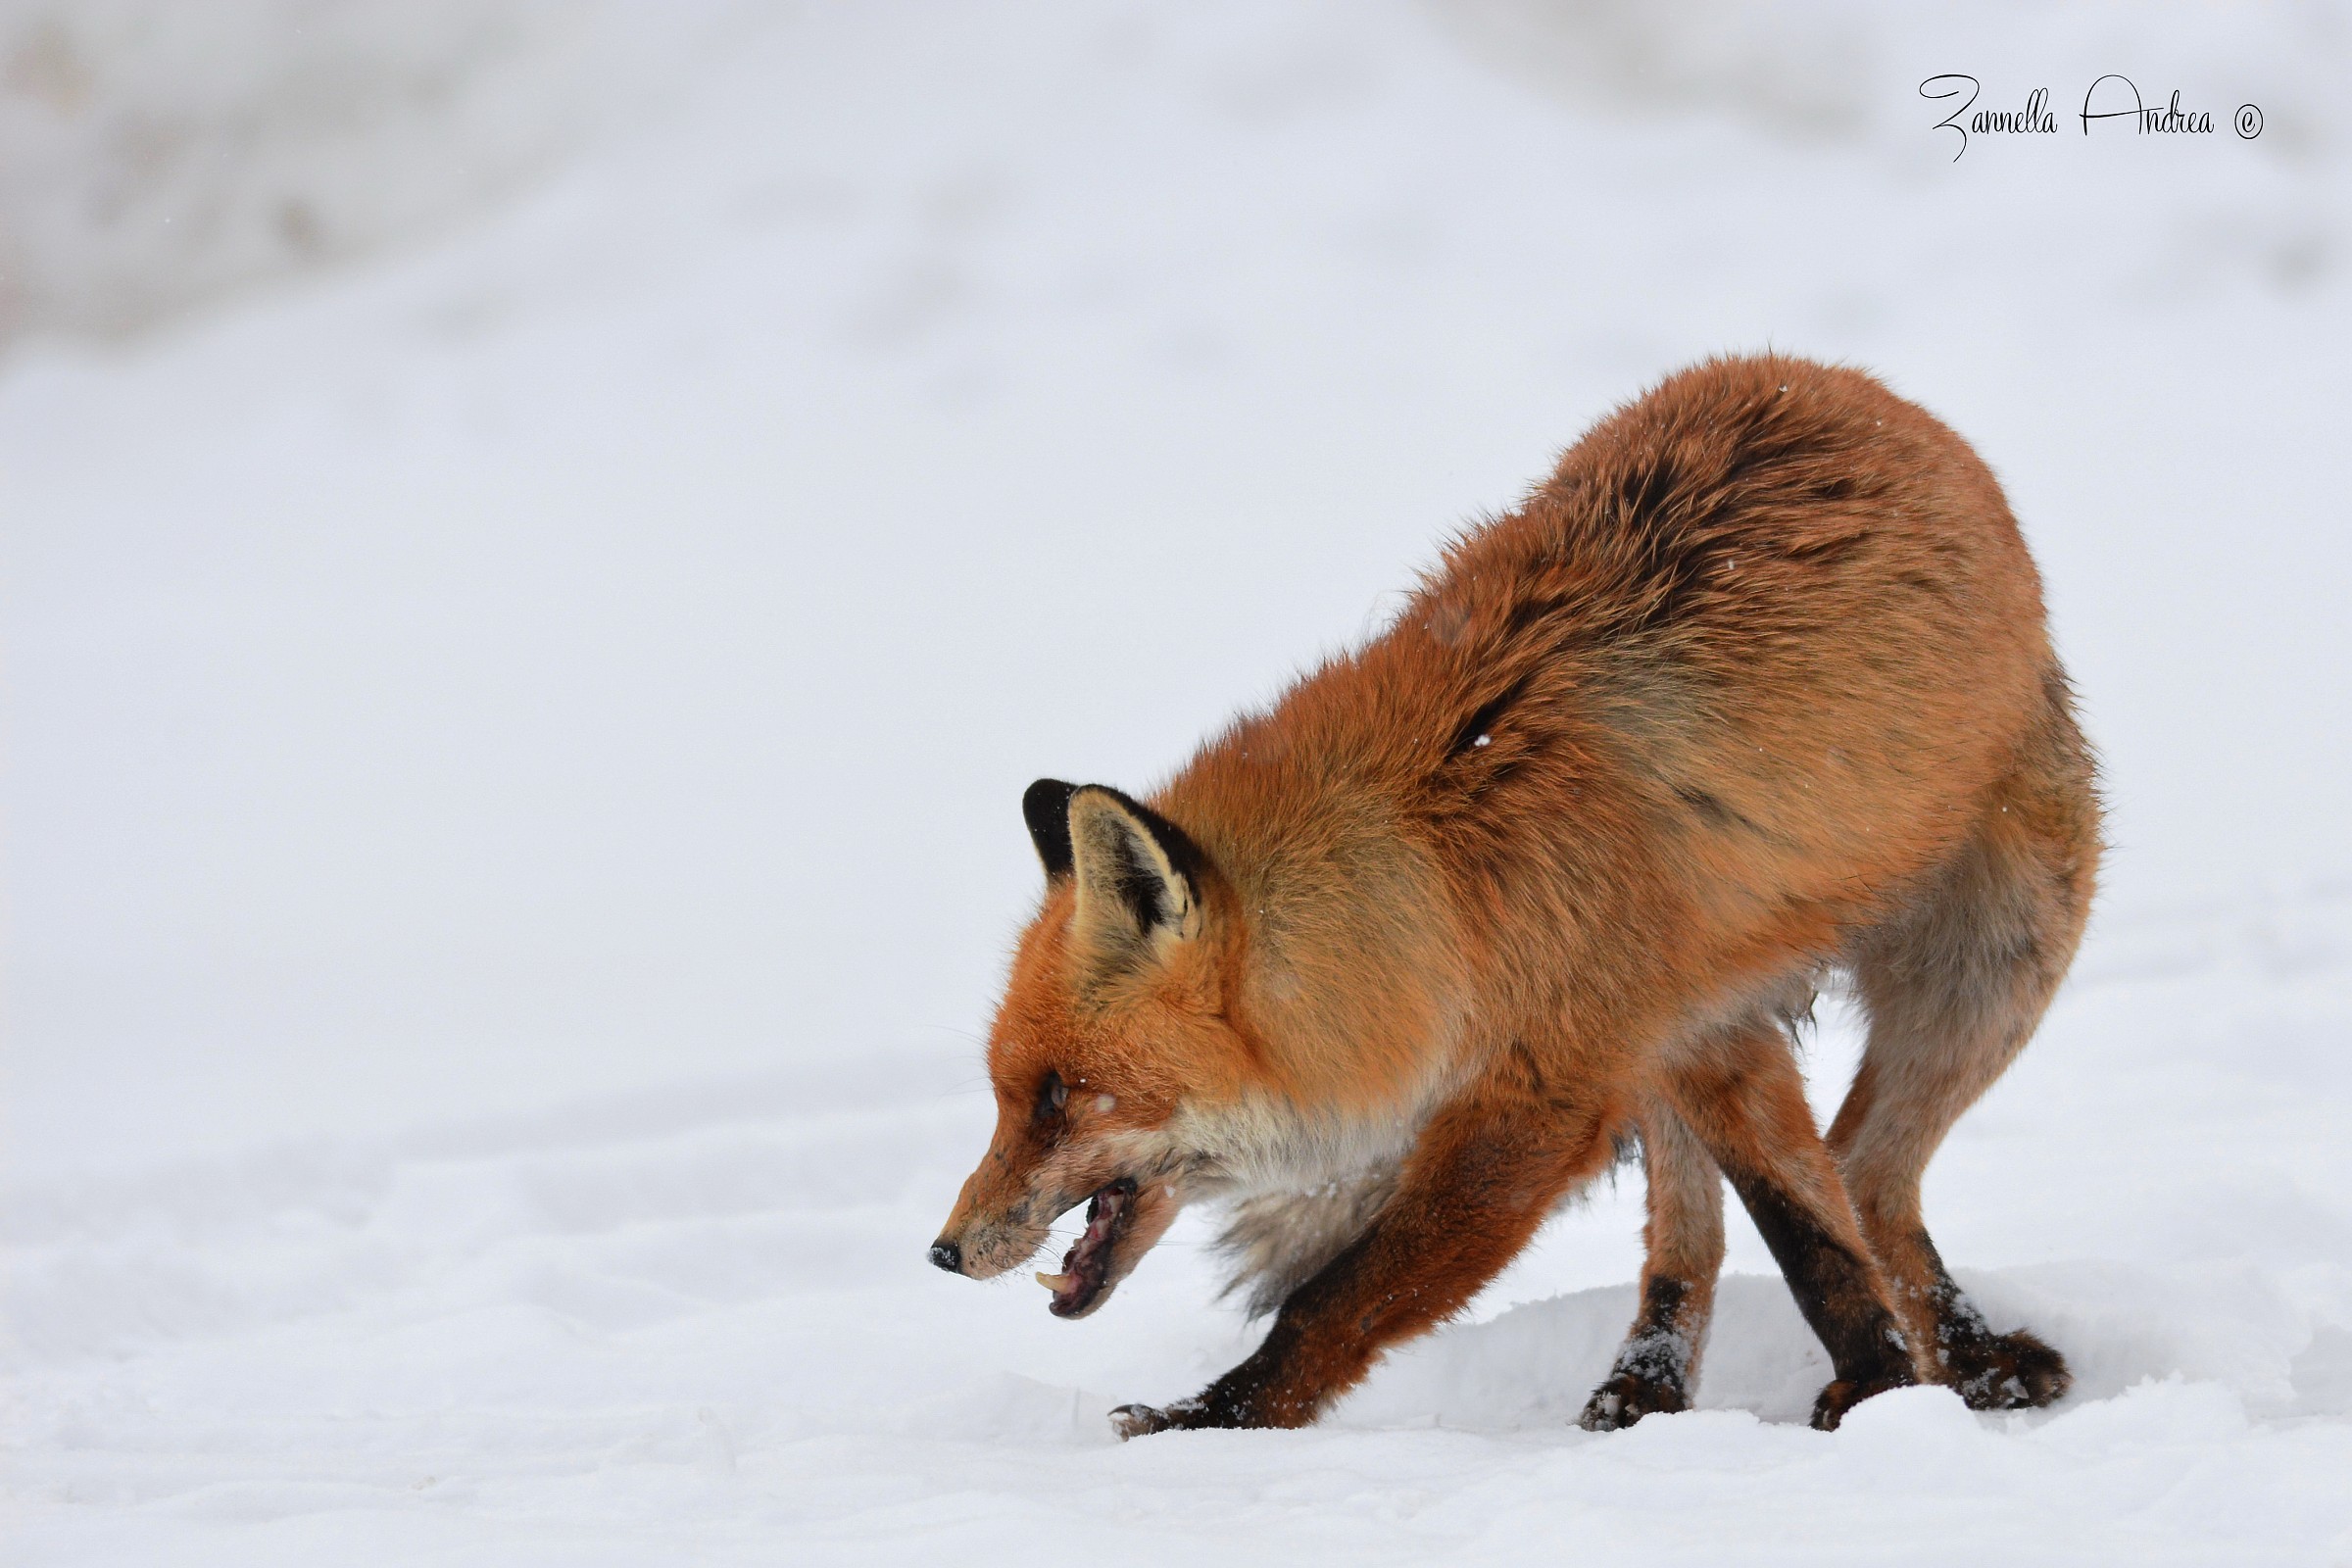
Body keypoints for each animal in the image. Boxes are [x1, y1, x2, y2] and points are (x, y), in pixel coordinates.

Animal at [930, 353, 2099, 1437]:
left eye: (1060, 1095)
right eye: (1008, 1094)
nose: (942, 1252)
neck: (1444, 875)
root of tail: (1851, 385)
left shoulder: (1546, 1101)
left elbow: (1336, 1299)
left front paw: (1209, 1423)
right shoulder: (1679, 1032)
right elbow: (1796, 1226)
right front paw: (1884, 1389)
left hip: (1995, 966)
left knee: (1871, 1172)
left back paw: (1961, 1353)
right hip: (1695, 1041)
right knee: (1728, 1215)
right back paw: (1652, 1381)